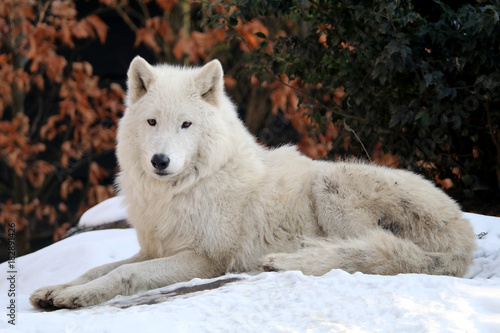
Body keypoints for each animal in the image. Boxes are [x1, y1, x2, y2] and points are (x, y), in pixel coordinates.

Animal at [29, 55, 474, 308]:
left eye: (186, 124)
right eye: (152, 122)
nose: (160, 161)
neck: (183, 189)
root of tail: (465, 233)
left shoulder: (204, 259)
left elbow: (124, 275)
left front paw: (74, 297)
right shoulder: (154, 248)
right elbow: (98, 268)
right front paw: (57, 289)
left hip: (331, 184)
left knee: (367, 253)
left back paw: (288, 261)